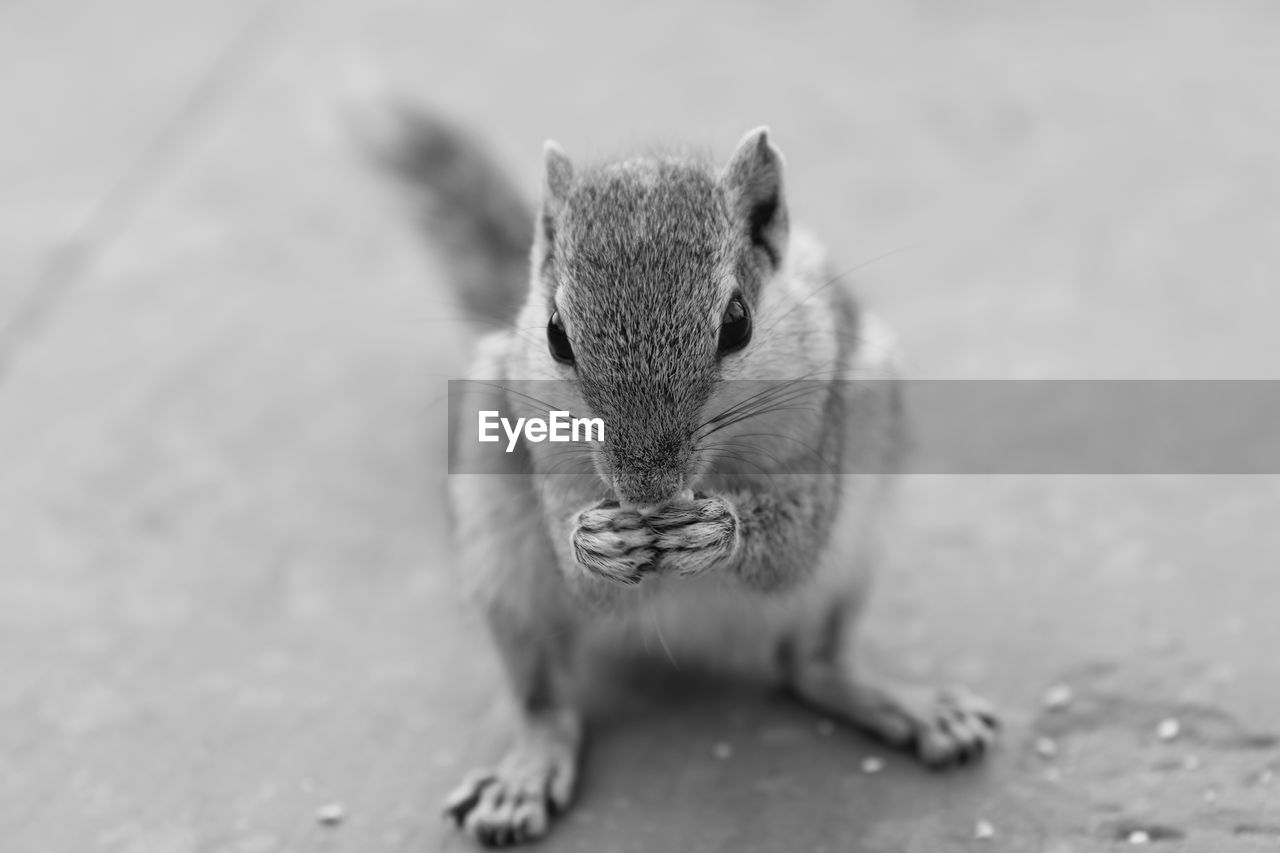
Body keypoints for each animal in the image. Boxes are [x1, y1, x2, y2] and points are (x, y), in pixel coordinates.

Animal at [358, 104, 998, 845]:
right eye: (554, 334)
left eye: (738, 321)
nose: (647, 490)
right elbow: (587, 583)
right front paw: (595, 541)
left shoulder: (825, 425)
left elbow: (793, 543)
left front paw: (719, 530)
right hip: (499, 556)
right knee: (545, 701)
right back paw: (524, 775)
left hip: (858, 532)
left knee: (810, 664)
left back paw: (906, 704)